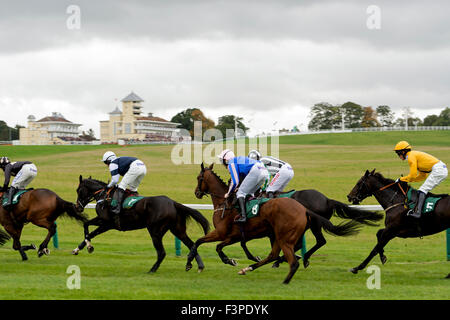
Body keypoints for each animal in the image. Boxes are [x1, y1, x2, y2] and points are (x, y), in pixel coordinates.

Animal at [73, 175, 210, 272]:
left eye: (78, 190)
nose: (77, 207)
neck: (105, 196)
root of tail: (173, 203)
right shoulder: (106, 224)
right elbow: (89, 230)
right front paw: (77, 249)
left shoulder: (107, 223)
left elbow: (87, 228)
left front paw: (89, 247)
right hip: (177, 229)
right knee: (191, 244)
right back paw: (199, 265)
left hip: (155, 231)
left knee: (162, 252)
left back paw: (152, 270)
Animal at [185, 164, 360, 284]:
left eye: (199, 178)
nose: (196, 192)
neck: (226, 203)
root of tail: (326, 199)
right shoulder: (238, 235)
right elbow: (229, 245)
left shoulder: (223, 233)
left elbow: (201, 242)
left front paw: (192, 263)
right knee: (307, 244)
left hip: (303, 229)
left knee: (315, 242)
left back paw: (297, 261)